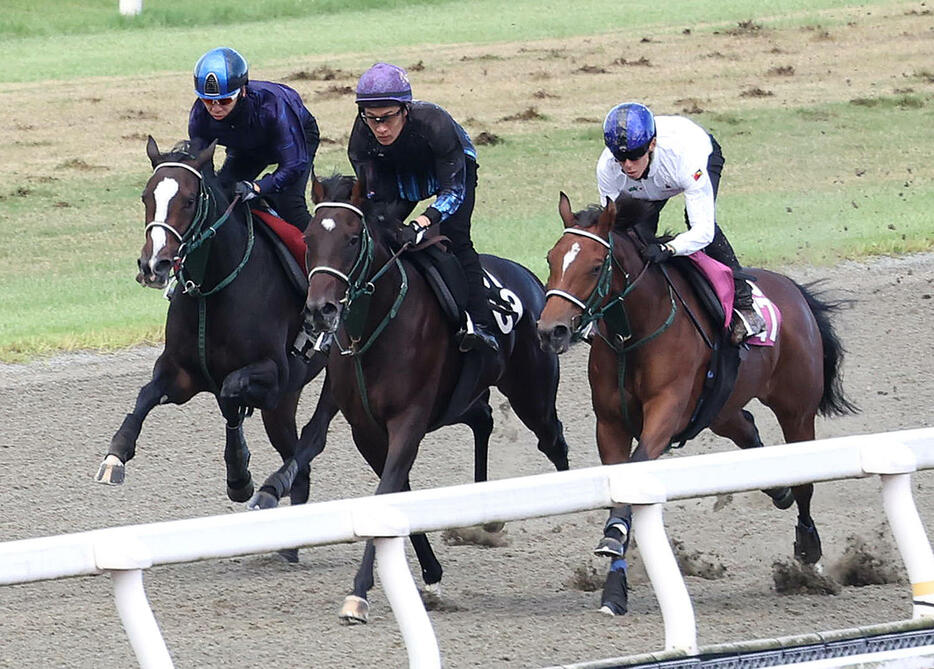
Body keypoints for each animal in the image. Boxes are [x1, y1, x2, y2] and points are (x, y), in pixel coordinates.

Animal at [308, 175, 572, 624]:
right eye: (308, 237)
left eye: (351, 238)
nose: (319, 309)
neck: (373, 329)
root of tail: (532, 280)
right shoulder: (367, 431)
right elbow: (397, 493)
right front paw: (431, 573)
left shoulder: (408, 422)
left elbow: (386, 494)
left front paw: (358, 593)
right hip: (463, 398)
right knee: (484, 418)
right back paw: (483, 512)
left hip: (532, 394)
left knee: (554, 442)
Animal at [536, 192, 860, 616]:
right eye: (551, 259)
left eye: (593, 266)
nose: (550, 331)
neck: (632, 335)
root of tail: (793, 290)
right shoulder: (610, 424)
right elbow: (620, 483)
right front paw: (614, 589)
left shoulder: (665, 413)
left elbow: (636, 469)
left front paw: (614, 535)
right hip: (719, 409)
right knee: (748, 429)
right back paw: (777, 490)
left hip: (796, 409)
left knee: (804, 479)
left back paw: (808, 549)